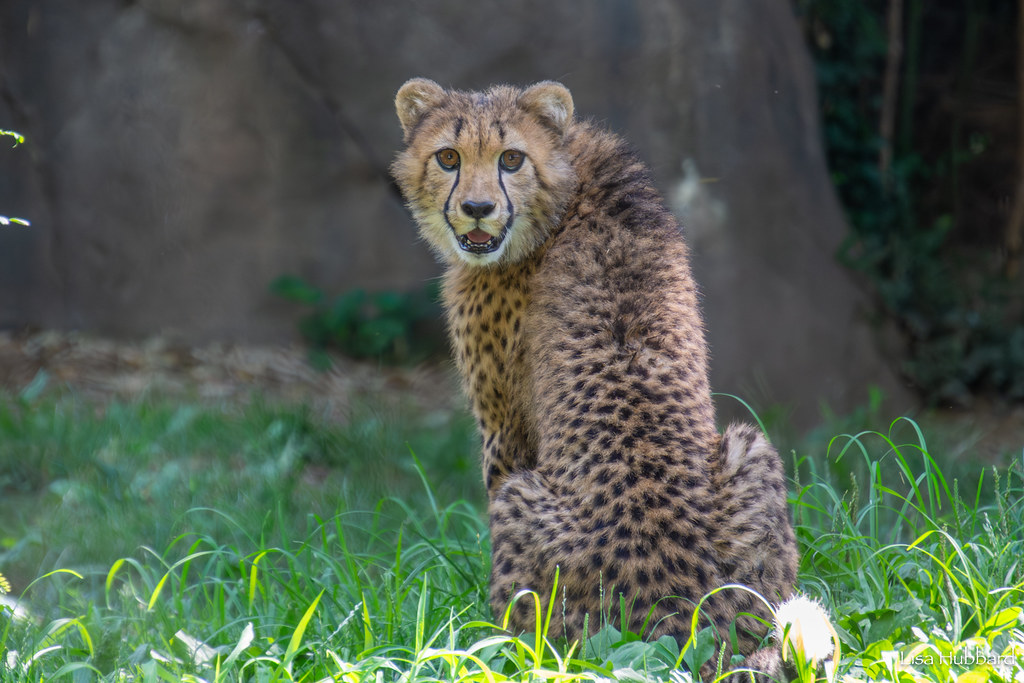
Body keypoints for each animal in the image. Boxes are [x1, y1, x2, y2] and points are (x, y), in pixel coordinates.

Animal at [391, 78, 802, 679]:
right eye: (448, 157)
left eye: (511, 158)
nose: (477, 209)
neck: (566, 190)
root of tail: (683, 621)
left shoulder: (504, 433)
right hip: (751, 453)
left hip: (523, 509)